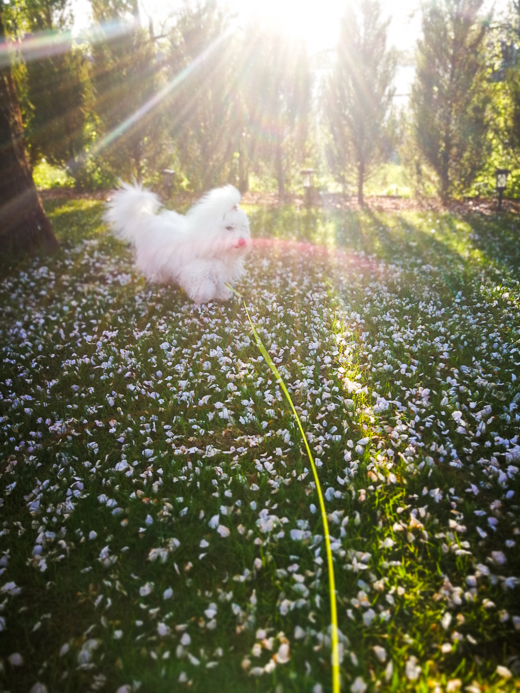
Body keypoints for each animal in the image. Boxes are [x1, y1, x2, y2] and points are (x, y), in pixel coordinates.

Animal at [103, 184, 250, 302]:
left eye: (243, 227)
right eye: (229, 227)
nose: (242, 241)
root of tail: (148, 218)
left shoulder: (221, 272)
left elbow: (220, 285)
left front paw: (223, 294)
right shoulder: (196, 273)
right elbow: (205, 289)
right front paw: (203, 298)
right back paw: (159, 279)